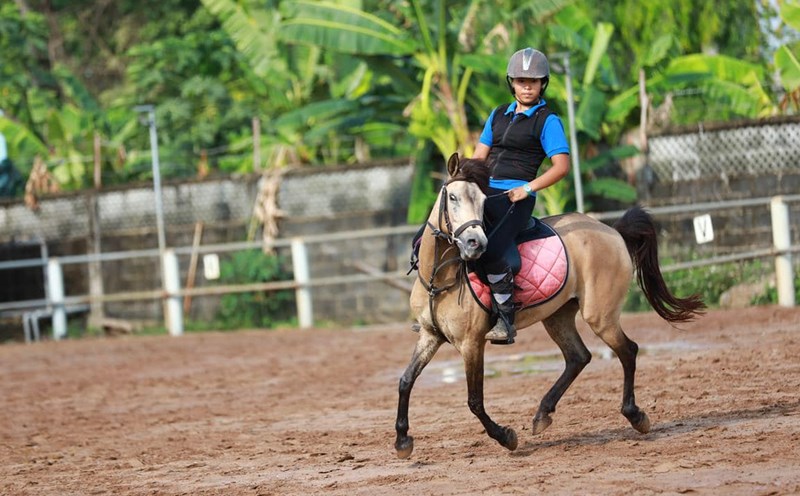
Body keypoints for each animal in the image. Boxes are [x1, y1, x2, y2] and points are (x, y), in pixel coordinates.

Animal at [394, 153, 705, 458]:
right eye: (453, 197)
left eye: (483, 202)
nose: (476, 243)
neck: (440, 278)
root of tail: (612, 231)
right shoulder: (430, 335)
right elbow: (406, 380)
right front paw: (402, 440)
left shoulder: (471, 343)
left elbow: (474, 400)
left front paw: (506, 436)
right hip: (557, 316)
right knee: (578, 357)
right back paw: (543, 414)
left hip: (600, 316)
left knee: (628, 351)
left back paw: (635, 415)